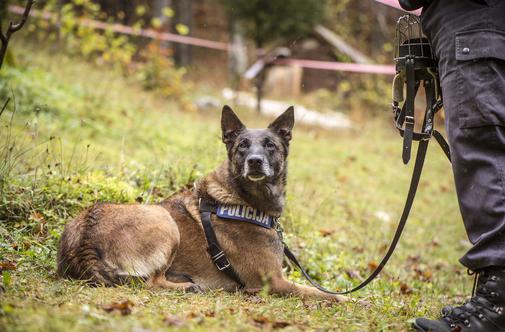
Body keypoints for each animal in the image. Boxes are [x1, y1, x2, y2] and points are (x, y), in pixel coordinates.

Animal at [55, 106, 346, 304]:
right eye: (242, 145)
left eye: (270, 145)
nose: (254, 161)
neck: (242, 199)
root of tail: (84, 235)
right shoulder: (272, 282)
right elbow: (320, 292)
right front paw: (352, 299)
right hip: (164, 221)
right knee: (150, 282)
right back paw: (186, 286)